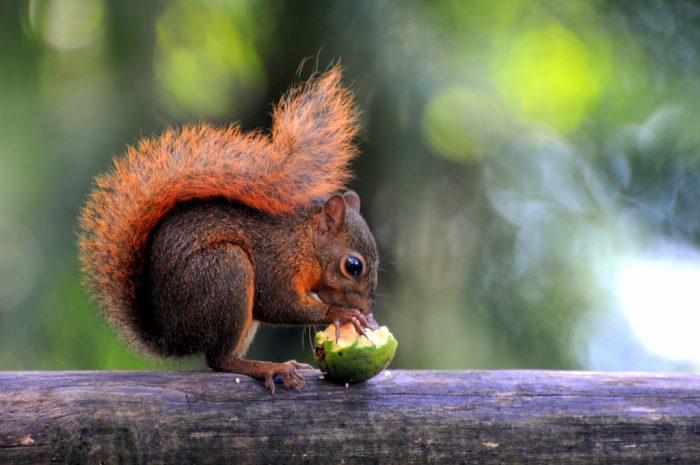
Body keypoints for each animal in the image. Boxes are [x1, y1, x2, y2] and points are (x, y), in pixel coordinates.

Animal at [78, 66, 378, 392]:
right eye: (353, 266)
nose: (366, 310)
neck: (303, 242)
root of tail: (171, 336)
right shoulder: (276, 262)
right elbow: (277, 304)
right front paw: (341, 315)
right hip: (226, 273)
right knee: (220, 359)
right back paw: (271, 368)